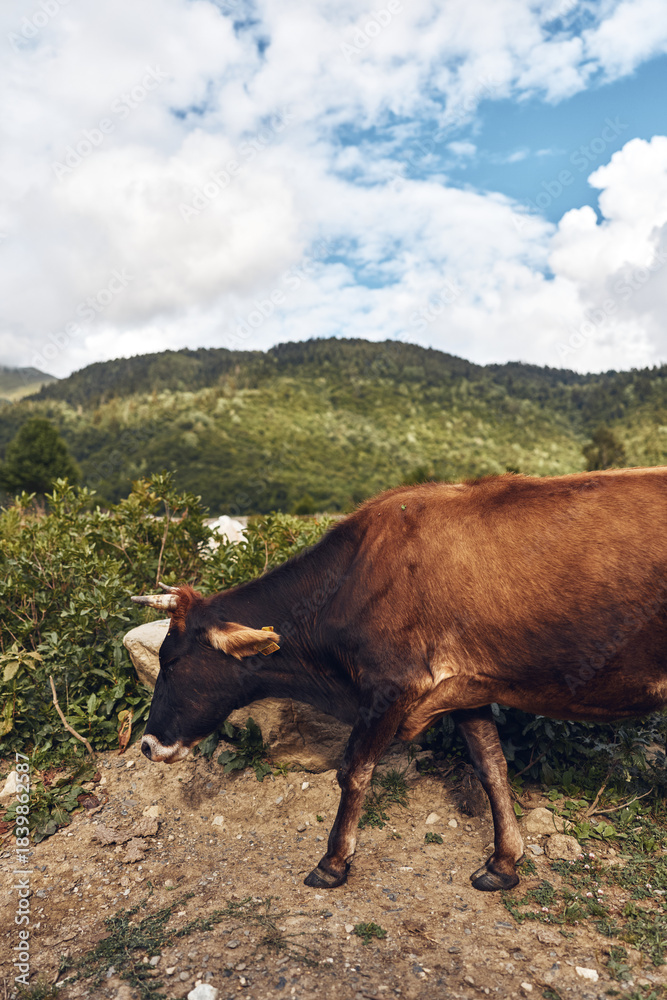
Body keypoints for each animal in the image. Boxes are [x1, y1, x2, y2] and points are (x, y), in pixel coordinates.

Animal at [133, 467, 667, 893]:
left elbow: (353, 769)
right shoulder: (465, 687)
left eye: (171, 660)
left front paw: (333, 862)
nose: (147, 744)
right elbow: (492, 767)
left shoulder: (392, 685)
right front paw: (503, 862)